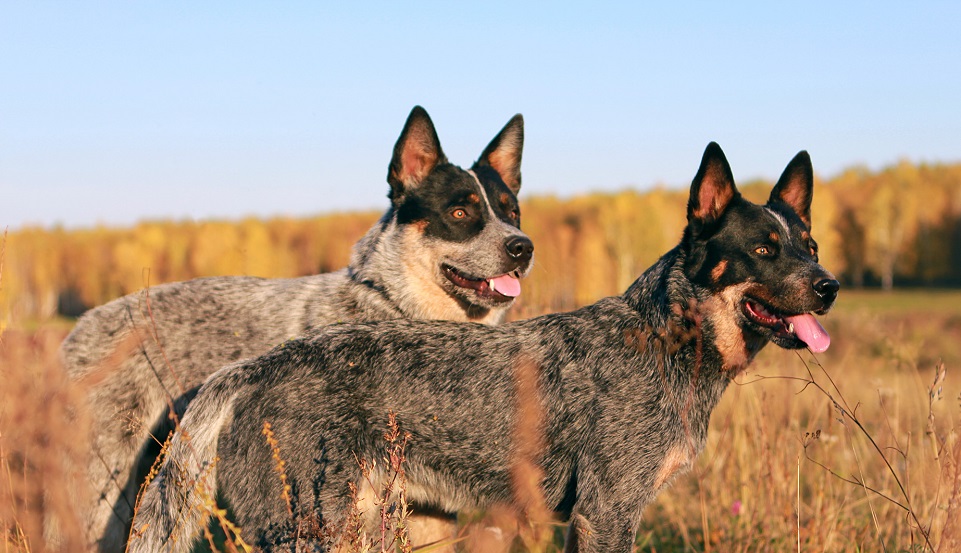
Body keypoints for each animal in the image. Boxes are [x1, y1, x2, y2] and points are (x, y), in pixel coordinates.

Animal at [129, 140, 840, 548]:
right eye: (762, 250)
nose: (829, 285)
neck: (664, 340)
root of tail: (252, 369)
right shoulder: (606, 511)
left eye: (809, 245)